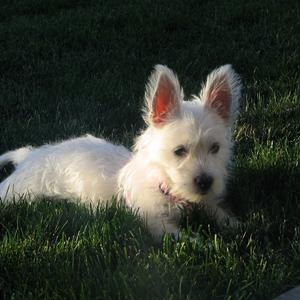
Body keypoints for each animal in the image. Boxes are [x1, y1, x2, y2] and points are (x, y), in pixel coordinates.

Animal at [0, 64, 241, 238]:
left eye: (215, 148)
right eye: (179, 151)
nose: (205, 182)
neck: (166, 185)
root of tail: (29, 156)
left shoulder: (204, 202)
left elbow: (218, 212)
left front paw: (235, 225)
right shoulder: (153, 220)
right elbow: (175, 237)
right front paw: (201, 242)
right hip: (18, 191)